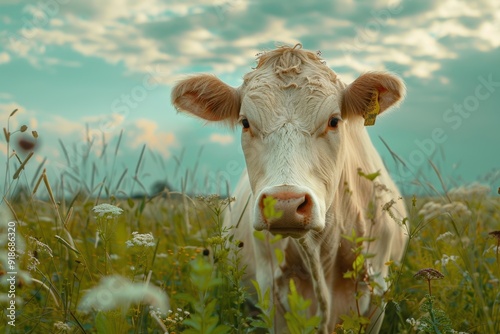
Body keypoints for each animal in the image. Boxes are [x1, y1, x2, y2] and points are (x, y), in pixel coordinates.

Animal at [170, 43, 408, 332]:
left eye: (334, 120)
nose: (285, 204)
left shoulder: (376, 295)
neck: (321, 255)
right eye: (245, 122)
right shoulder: (270, 292)